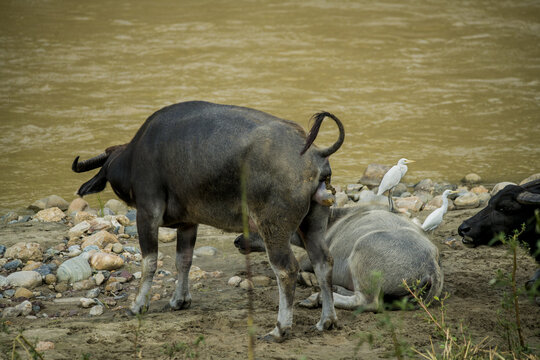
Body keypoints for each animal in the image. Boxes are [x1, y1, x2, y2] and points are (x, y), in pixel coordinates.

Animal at [71, 100, 344, 340]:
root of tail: (314, 153)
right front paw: (179, 300)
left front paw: (138, 306)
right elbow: (184, 261)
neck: (136, 155)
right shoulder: (188, 223)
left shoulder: (147, 214)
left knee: (286, 270)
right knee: (323, 262)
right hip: (313, 225)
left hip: (273, 228)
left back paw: (280, 329)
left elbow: (150, 262)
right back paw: (326, 321)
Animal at [235, 204, 442, 310]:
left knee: (367, 302)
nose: (237, 241)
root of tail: (431, 264)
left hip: (362, 252)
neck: (330, 221)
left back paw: (316, 297)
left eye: (258, 224)